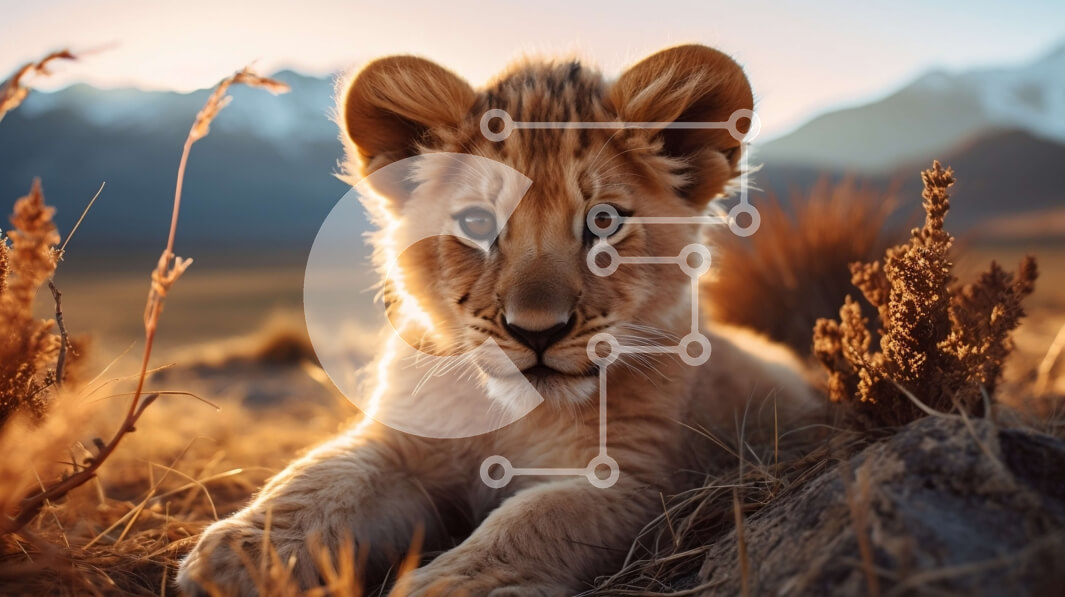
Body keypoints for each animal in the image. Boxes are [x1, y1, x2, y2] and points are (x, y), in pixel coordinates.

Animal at [177, 44, 817, 596]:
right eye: (478, 223)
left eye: (604, 222)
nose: (537, 332)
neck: (512, 414)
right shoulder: (402, 443)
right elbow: (324, 474)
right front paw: (236, 555)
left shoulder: (632, 479)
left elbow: (533, 523)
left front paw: (444, 589)